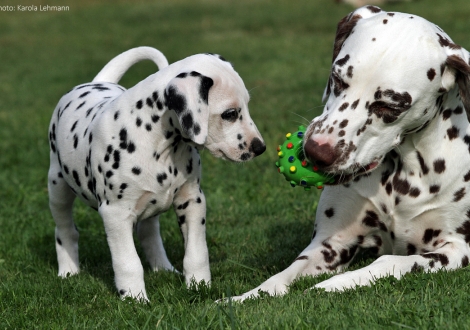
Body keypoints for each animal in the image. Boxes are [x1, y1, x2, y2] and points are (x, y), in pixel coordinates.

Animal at [50, 47, 268, 302]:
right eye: (230, 114)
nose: (260, 147)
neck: (158, 143)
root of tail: (96, 82)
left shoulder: (192, 201)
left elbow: (196, 252)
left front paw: (199, 285)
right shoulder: (115, 214)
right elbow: (128, 262)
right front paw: (134, 298)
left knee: (149, 233)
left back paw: (162, 268)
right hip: (57, 186)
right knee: (65, 229)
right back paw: (68, 271)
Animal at [233, 5, 470, 302]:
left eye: (390, 106)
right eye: (337, 79)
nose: (316, 151)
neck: (401, 173)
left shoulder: (457, 249)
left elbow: (388, 262)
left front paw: (329, 286)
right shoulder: (331, 243)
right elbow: (281, 277)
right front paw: (241, 298)